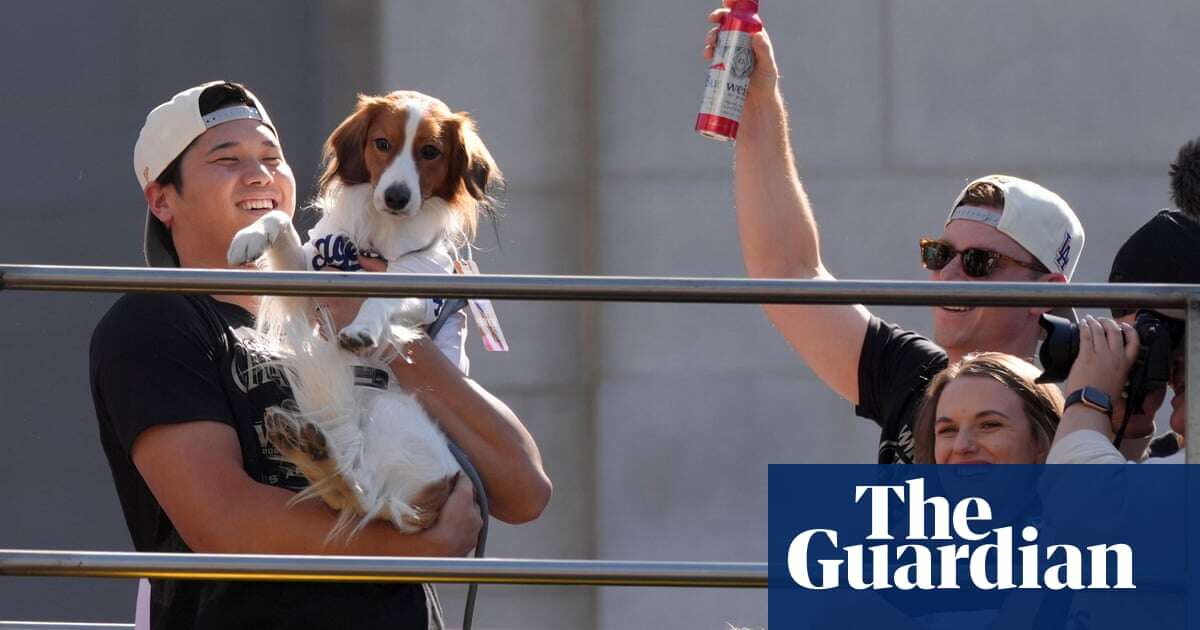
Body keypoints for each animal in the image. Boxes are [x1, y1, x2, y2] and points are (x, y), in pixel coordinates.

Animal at [226, 90, 499, 537]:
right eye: (382, 143)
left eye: (430, 151)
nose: (396, 197)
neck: (382, 236)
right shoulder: (310, 280)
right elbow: (279, 218)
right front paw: (249, 235)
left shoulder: (420, 283)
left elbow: (380, 299)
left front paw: (363, 330)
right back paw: (308, 448)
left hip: (394, 417)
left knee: (364, 494)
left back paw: (317, 455)